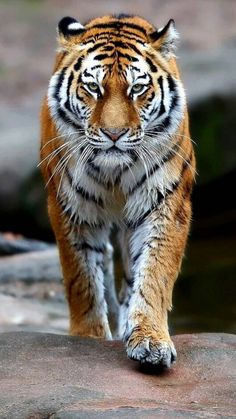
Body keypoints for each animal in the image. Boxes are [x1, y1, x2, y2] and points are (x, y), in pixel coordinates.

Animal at [40, 12, 195, 368]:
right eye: (92, 87)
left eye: (137, 88)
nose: (114, 134)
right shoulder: (71, 208)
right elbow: (81, 278)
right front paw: (88, 337)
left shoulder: (165, 202)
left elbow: (153, 273)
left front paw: (150, 340)